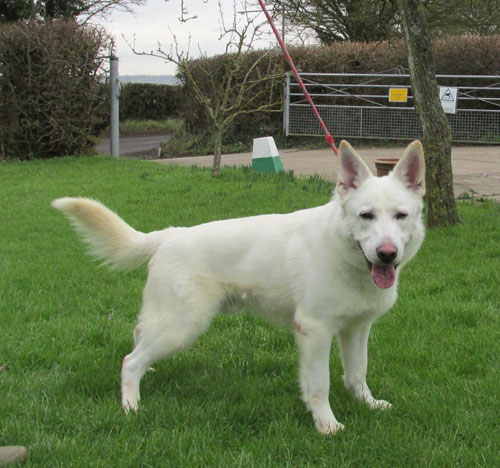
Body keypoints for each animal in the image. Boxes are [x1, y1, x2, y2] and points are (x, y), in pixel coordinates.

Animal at [52, 140, 424, 436]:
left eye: (401, 216)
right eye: (366, 216)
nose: (387, 254)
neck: (343, 253)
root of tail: (168, 235)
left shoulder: (356, 329)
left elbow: (357, 374)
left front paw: (368, 404)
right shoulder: (314, 331)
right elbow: (320, 384)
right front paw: (326, 425)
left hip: (167, 323)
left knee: (138, 337)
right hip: (181, 328)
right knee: (129, 362)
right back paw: (131, 407)